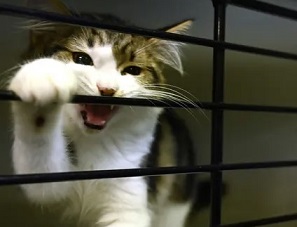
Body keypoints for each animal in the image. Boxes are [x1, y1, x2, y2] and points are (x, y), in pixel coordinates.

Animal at [7, 0, 199, 226]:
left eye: (132, 70)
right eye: (81, 58)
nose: (107, 89)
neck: (93, 143)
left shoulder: (128, 196)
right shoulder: (48, 182)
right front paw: (42, 76)